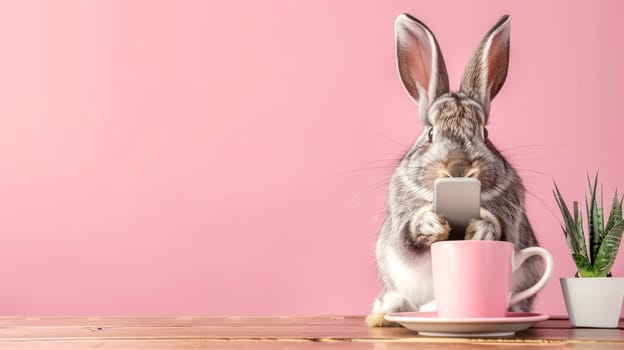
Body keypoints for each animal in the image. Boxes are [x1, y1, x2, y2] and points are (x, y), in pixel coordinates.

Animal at [366, 13, 544, 326]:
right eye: (430, 133)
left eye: (485, 133)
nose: (459, 166)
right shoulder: (399, 233)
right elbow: (408, 240)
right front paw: (430, 224)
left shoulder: (513, 225)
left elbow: (499, 229)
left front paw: (482, 229)